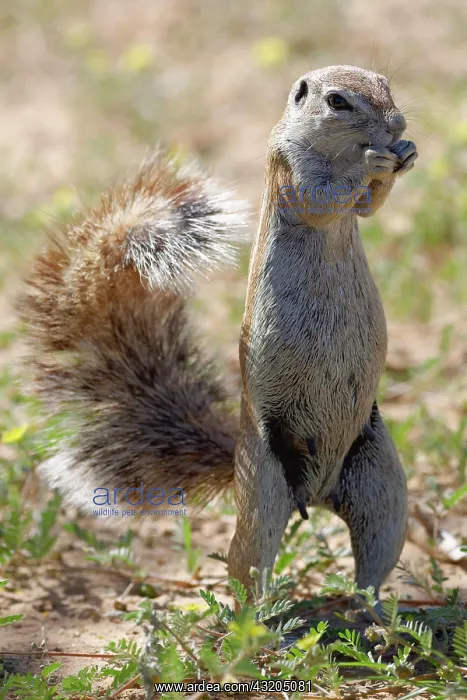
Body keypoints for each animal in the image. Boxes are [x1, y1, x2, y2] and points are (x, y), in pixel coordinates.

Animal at [23, 65, 417, 601]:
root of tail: (317, 494)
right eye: (337, 101)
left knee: (374, 558)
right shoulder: (291, 171)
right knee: (245, 563)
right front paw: (375, 160)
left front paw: (406, 154)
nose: (397, 125)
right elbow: (325, 198)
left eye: (386, 84)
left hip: (381, 485)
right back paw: (257, 617)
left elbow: (367, 209)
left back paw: (371, 612)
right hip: (265, 490)